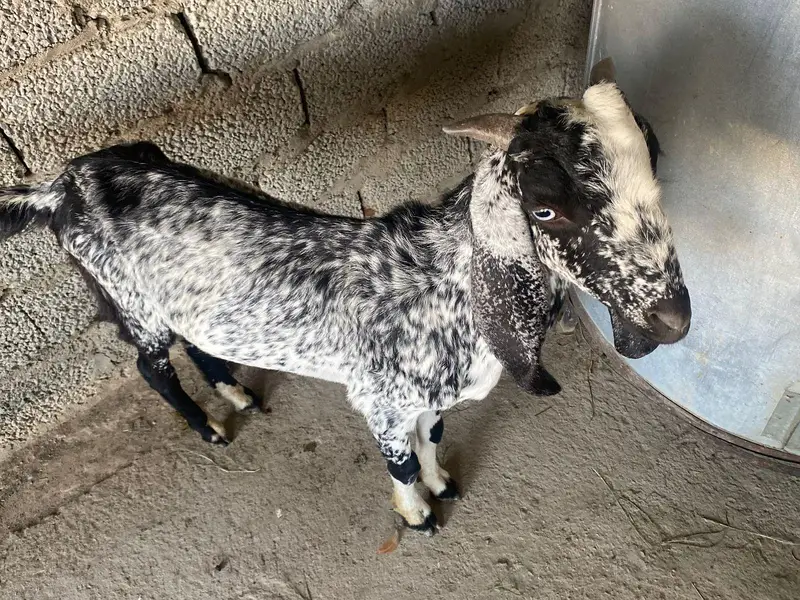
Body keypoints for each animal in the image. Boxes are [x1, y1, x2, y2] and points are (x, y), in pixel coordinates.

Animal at [0, 60, 690, 535]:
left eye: (656, 169)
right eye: (544, 208)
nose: (674, 321)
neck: (444, 283)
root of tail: (63, 185)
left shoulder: (423, 396)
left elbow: (433, 436)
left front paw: (443, 483)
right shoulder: (379, 397)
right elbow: (401, 462)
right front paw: (418, 515)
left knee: (197, 345)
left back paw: (236, 393)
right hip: (131, 301)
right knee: (151, 366)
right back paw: (210, 428)